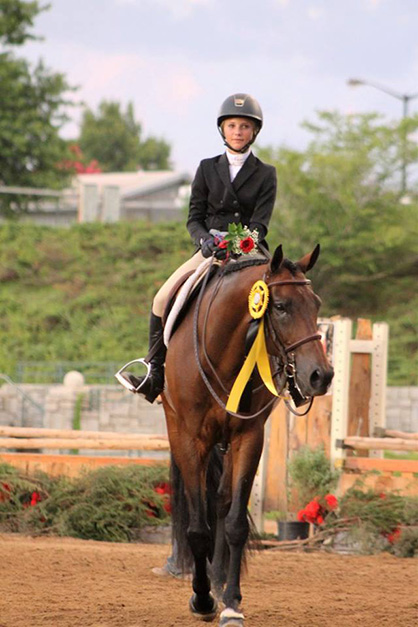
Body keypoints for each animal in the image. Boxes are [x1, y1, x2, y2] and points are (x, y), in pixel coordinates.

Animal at [161, 244, 334, 627]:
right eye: (280, 306)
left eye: (316, 304)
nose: (321, 376)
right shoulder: (189, 439)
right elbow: (197, 527)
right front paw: (201, 599)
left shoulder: (249, 437)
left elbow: (236, 522)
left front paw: (230, 602)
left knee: (222, 501)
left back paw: (219, 577)